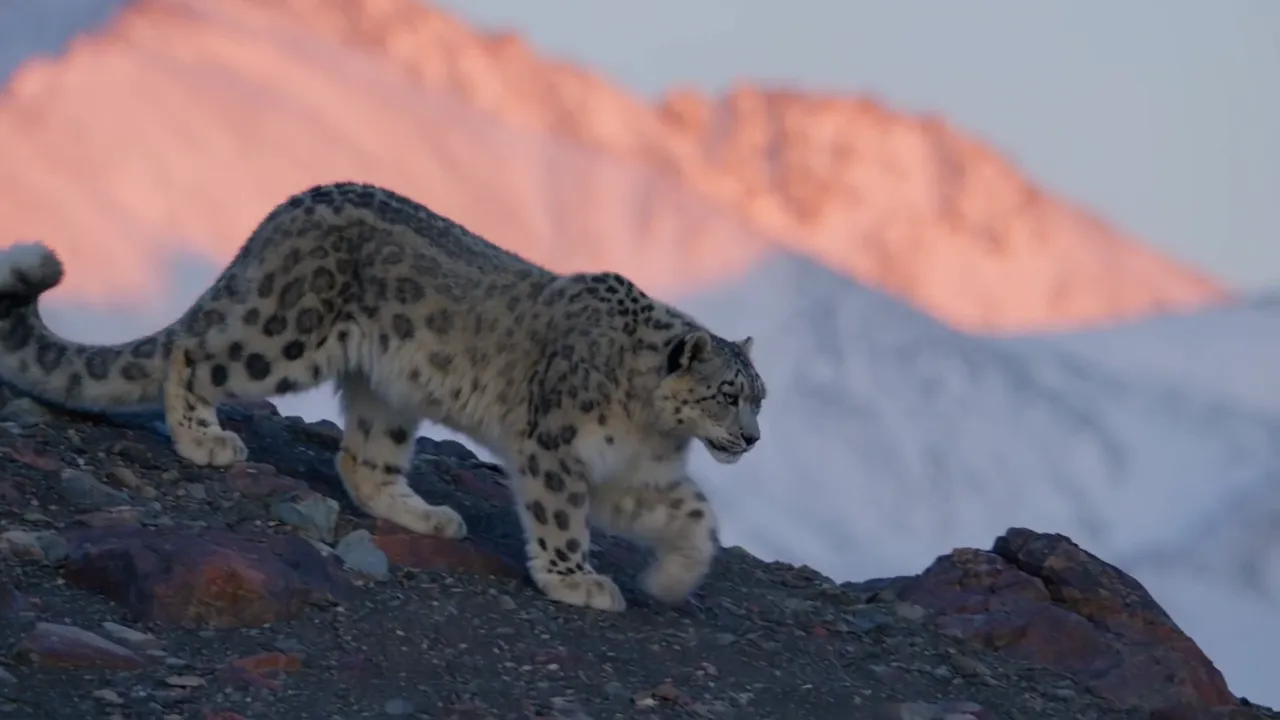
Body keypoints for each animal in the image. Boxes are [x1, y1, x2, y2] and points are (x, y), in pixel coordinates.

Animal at [0, 182, 768, 612]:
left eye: (760, 398)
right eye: (728, 393)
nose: (754, 439)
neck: (651, 431)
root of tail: (284, 211)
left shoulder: (630, 475)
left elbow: (696, 513)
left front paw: (670, 582)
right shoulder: (557, 451)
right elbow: (560, 521)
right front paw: (573, 581)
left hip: (392, 393)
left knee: (362, 459)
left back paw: (428, 515)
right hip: (284, 334)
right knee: (194, 354)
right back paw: (203, 438)